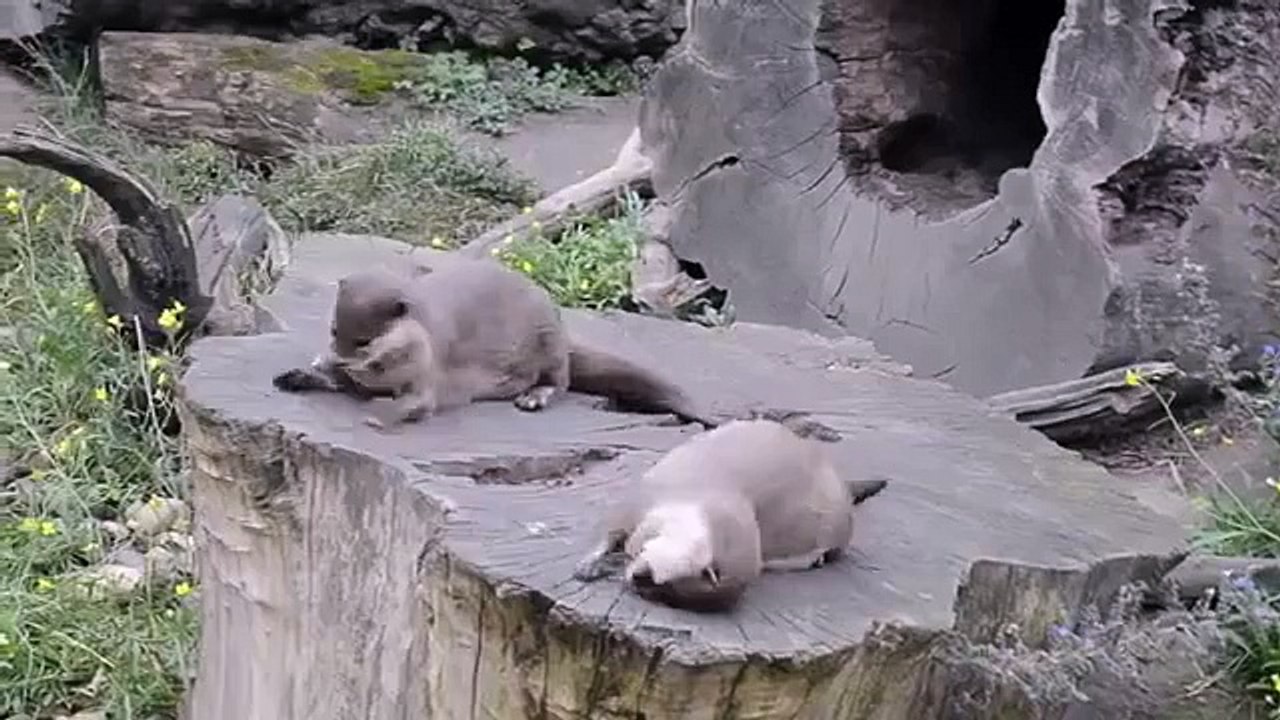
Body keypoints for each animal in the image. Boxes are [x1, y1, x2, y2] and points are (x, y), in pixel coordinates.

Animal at [572, 418, 887, 611]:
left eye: (667, 584)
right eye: (648, 557)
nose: (641, 578)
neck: (691, 500)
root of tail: (843, 487)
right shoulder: (634, 503)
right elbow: (609, 535)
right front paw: (589, 566)